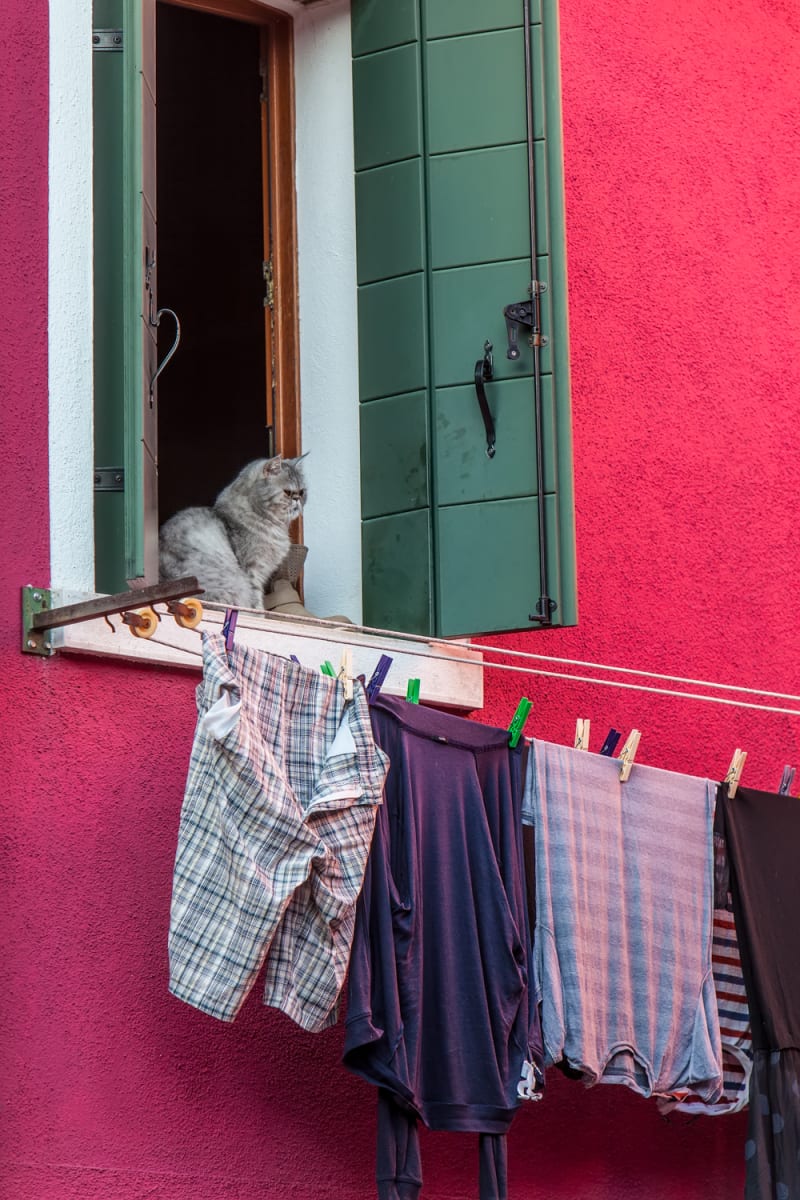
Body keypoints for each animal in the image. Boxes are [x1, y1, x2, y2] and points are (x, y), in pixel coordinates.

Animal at [158, 456, 307, 614]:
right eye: (288, 492)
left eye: (302, 492)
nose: (298, 499)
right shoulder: (252, 569)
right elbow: (255, 599)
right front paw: (258, 614)